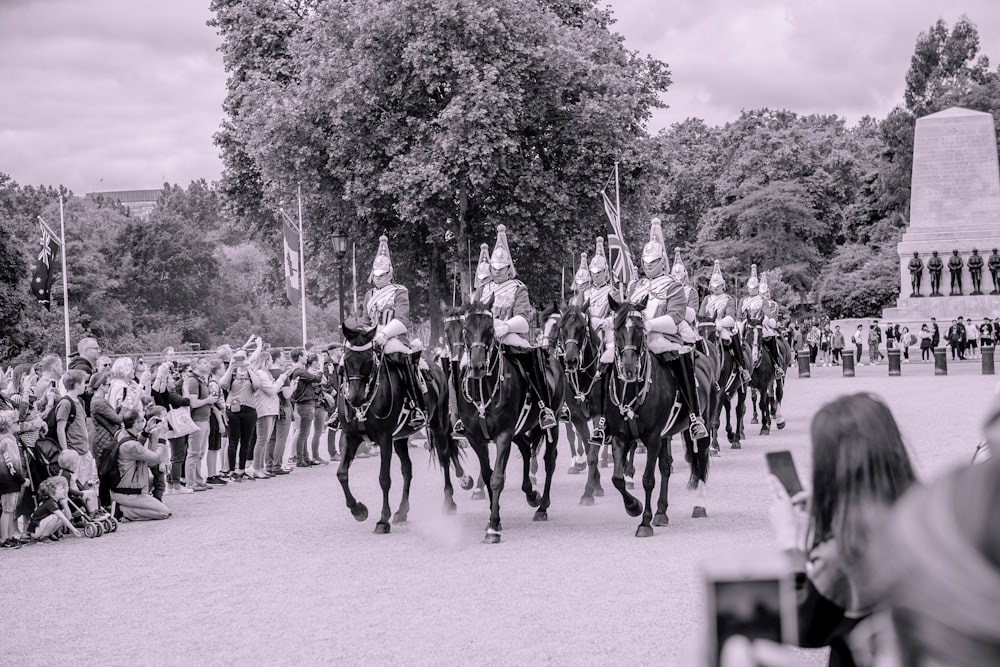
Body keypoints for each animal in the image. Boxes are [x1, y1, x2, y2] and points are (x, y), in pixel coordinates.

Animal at [332, 320, 464, 536]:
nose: (355, 398)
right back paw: (402, 511)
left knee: (445, 458)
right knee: (407, 469)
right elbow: (342, 473)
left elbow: (384, 478)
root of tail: (435, 367)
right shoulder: (350, 436)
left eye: (368, 359)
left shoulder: (385, 439)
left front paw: (382, 520)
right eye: (347, 359)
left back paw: (449, 502)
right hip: (401, 437)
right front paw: (358, 510)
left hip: (438, 424)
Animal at [552, 300, 604, 504]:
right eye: (562, 328)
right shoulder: (577, 417)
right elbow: (589, 448)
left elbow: (593, 452)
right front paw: (595, 487)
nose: (571, 360)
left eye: (582, 327)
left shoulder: (599, 415)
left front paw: (589, 492)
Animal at [600, 298, 712, 536]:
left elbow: (648, 479)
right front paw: (633, 506)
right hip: (665, 435)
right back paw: (661, 512)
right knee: (666, 468)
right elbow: (617, 478)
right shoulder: (620, 437)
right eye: (617, 330)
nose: (629, 369)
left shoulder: (651, 437)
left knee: (701, 460)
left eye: (641, 331)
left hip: (702, 426)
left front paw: (644, 522)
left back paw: (699, 505)